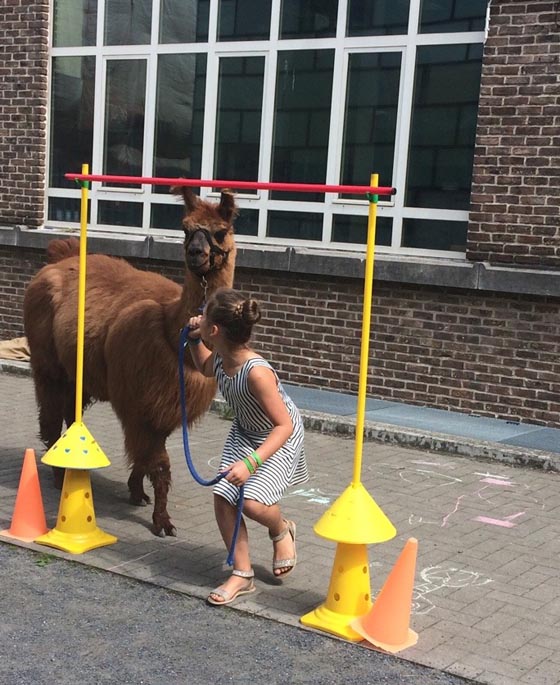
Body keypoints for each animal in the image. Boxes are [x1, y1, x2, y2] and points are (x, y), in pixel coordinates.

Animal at [23, 188, 237, 537]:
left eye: (220, 231)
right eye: (186, 229)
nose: (195, 253)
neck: (170, 329)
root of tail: (62, 257)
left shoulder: (164, 405)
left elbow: (148, 457)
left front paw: (138, 493)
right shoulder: (138, 399)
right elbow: (158, 464)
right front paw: (162, 521)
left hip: (77, 370)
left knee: (69, 412)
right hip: (47, 363)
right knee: (51, 416)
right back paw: (57, 476)